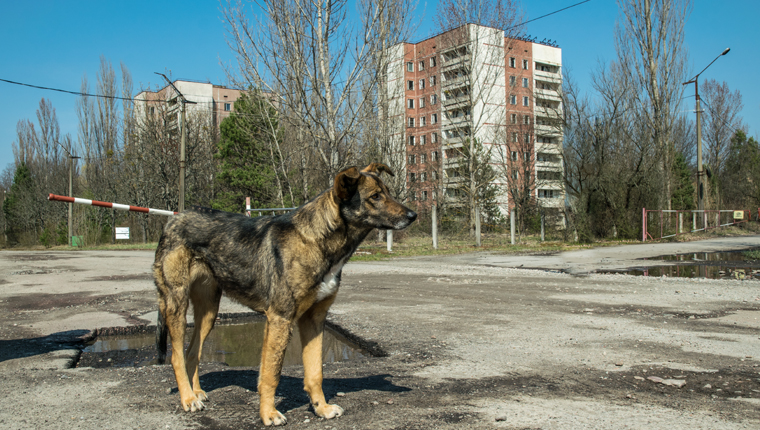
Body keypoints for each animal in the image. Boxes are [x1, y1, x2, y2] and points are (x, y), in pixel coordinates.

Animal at [152, 163, 418, 424]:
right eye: (375, 196)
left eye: (388, 192)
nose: (413, 215)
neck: (317, 240)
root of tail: (174, 220)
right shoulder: (280, 319)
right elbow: (271, 374)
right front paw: (268, 414)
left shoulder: (314, 320)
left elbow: (315, 372)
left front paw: (321, 408)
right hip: (176, 304)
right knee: (176, 356)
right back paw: (188, 399)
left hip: (208, 312)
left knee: (192, 352)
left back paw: (195, 391)